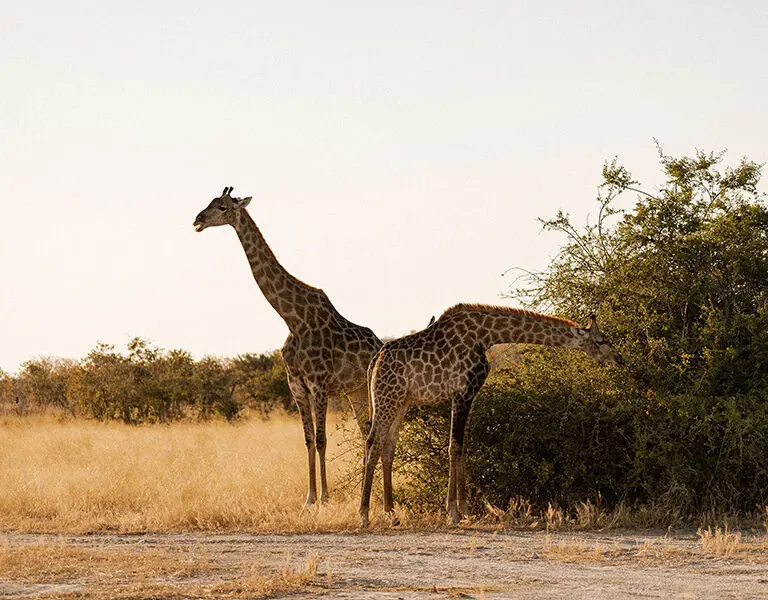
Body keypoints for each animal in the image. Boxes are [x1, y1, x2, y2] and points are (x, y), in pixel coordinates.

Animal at [193, 187, 382, 507]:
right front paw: (309, 498)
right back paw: (365, 490)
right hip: (355, 390)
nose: (197, 220)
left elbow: (322, 439)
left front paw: (325, 498)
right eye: (209, 203)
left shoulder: (318, 383)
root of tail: (380, 345)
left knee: (372, 433)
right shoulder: (296, 385)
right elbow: (307, 439)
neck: (293, 319)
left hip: (367, 389)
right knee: (365, 430)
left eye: (221, 207)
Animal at [358, 303, 623, 527]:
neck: (486, 336)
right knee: (373, 441)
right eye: (600, 341)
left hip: (402, 399)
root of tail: (375, 361)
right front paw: (452, 512)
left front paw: (466, 509)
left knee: (388, 444)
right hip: (387, 396)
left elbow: (464, 446)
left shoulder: (471, 394)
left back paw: (391, 514)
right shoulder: (462, 392)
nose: (618, 357)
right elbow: (454, 446)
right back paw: (364, 515)